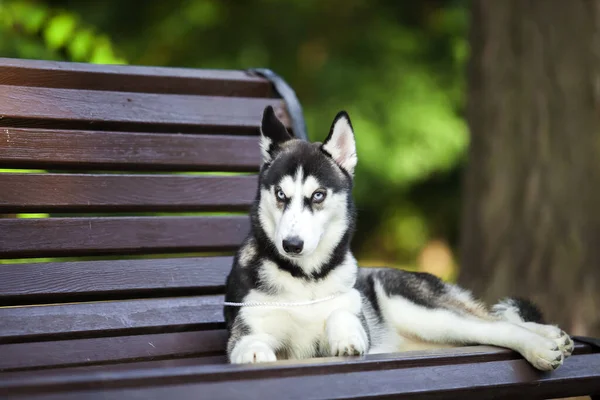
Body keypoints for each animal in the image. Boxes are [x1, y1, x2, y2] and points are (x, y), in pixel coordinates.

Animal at [223, 106, 576, 372]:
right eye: (281, 195)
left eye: (318, 195)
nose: (292, 245)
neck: (307, 279)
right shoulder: (248, 325)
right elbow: (246, 342)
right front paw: (254, 352)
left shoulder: (355, 315)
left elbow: (342, 314)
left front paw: (344, 337)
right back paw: (551, 336)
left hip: (426, 312)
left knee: (497, 324)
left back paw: (542, 344)